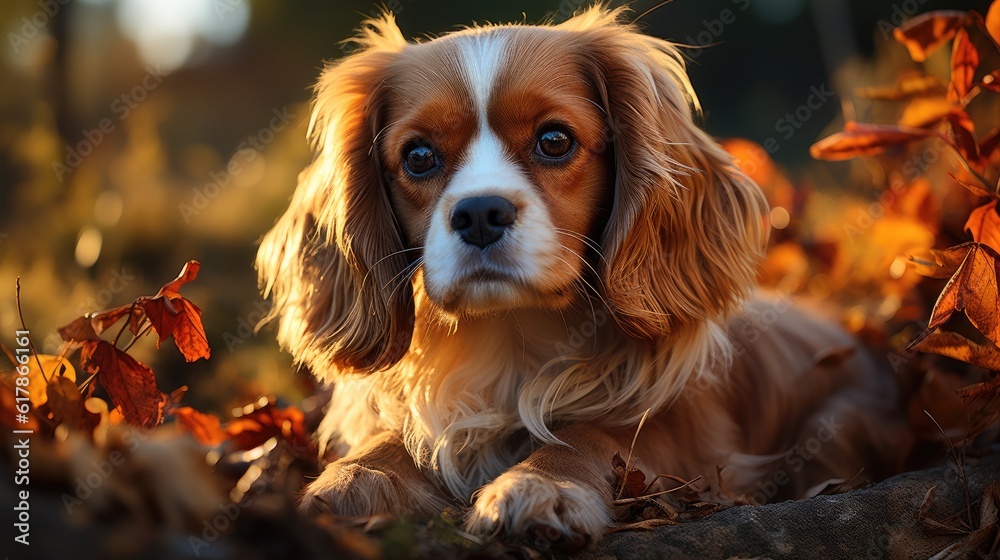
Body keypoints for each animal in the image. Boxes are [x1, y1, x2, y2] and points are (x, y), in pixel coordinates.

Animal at [254, 6, 912, 544]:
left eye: (554, 140)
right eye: (417, 156)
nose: (479, 212)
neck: (513, 336)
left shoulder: (687, 434)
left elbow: (587, 434)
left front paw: (542, 486)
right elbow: (394, 438)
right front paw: (356, 476)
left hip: (837, 421)